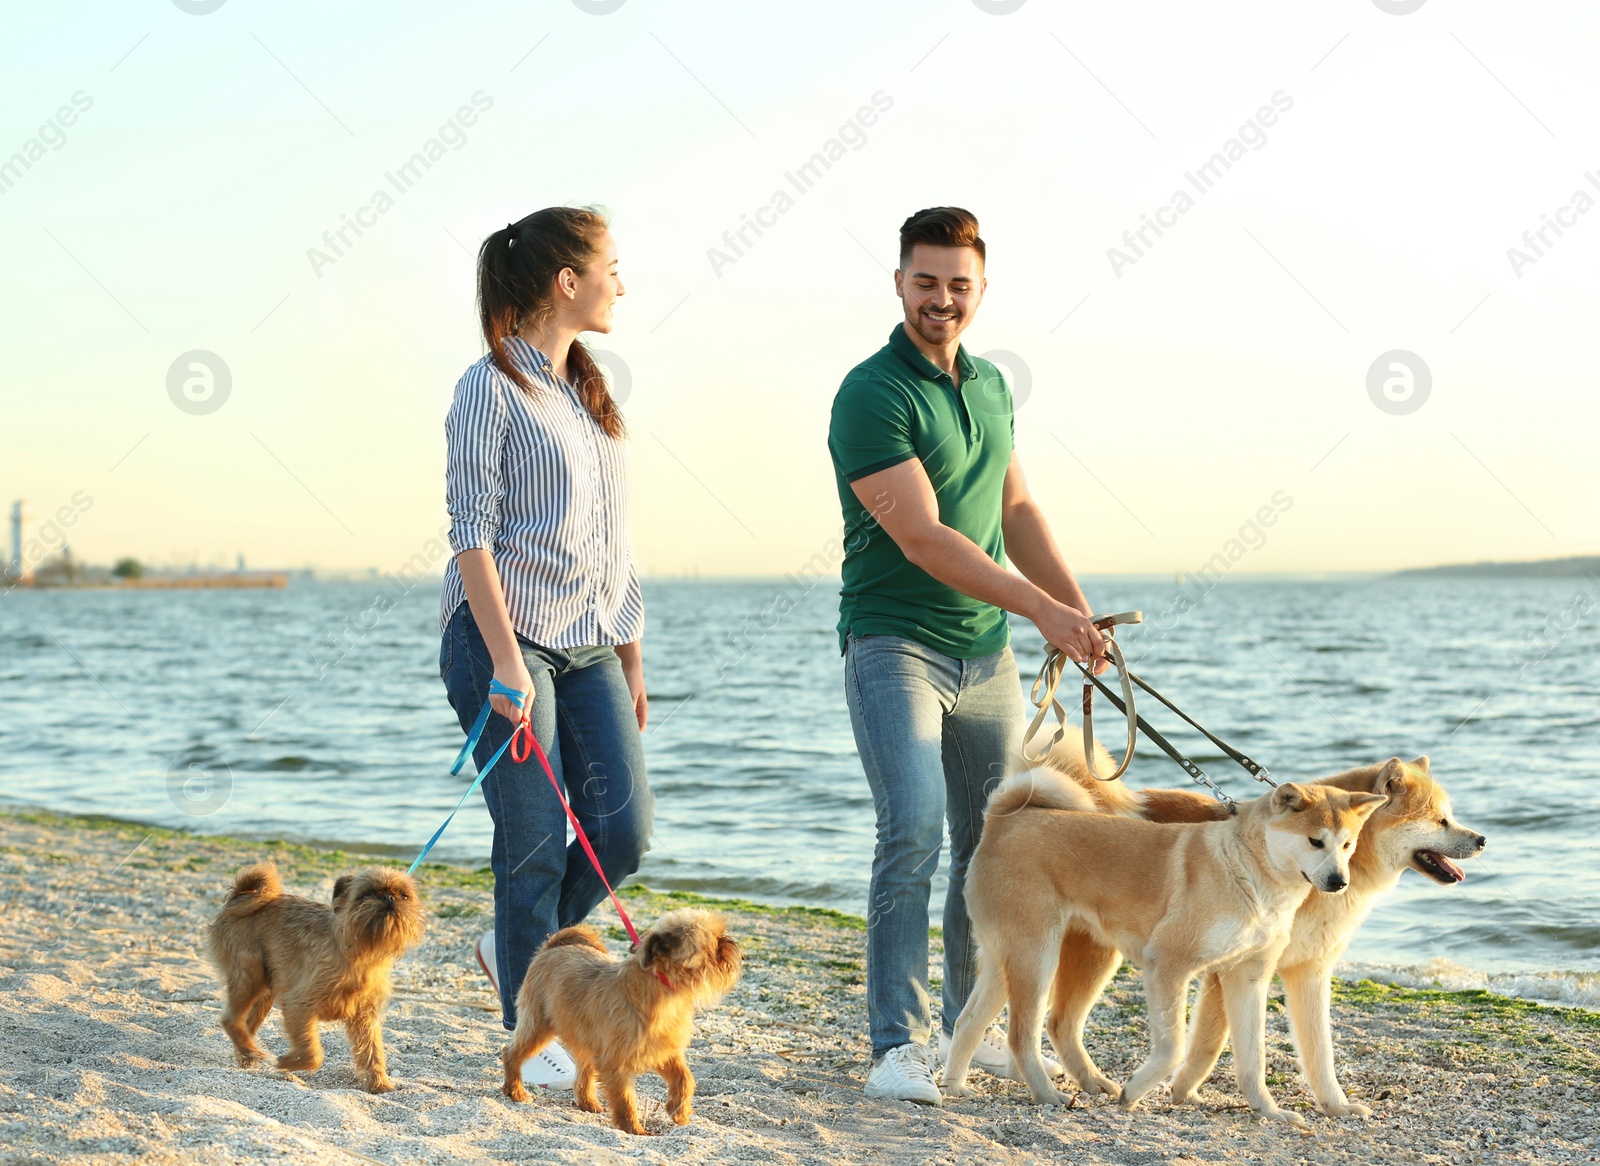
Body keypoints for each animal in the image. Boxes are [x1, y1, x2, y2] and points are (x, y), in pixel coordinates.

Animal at [209, 857, 428, 1094]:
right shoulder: (299, 1005)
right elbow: (313, 1054)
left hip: (265, 991)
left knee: (245, 1024)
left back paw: (247, 1055)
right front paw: (288, 1062)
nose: (389, 898)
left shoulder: (365, 1017)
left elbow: (373, 1052)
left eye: (404, 896)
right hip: (250, 976)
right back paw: (250, 1051)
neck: (361, 952)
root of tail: (240, 896)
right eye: (367, 894)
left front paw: (380, 1084)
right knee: (231, 1019)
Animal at [502, 902, 739, 1132]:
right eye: (713, 944)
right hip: (538, 1026)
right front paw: (634, 1130)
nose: (730, 943)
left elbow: (684, 1078)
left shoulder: (665, 1052)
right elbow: (625, 1099)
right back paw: (515, 1091)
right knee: (511, 1053)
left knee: (584, 1070)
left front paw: (679, 1111)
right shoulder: (616, 1063)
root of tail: (553, 946)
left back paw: (589, 1103)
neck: (662, 990)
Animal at [940, 764, 1382, 1119]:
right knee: (1022, 1035)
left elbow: (1252, 1058)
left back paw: (955, 1088)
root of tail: (1003, 821)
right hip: (1037, 957)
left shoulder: (1248, 977)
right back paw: (1048, 1095)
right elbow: (1174, 1048)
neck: (1245, 871)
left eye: (1347, 844)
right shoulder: (1168, 964)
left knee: (968, 1020)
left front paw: (1269, 1111)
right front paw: (1135, 1091)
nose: (1339, 881)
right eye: (1315, 841)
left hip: (1007, 960)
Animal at [1036, 742, 1484, 1113]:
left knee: (1055, 1021)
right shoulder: (1226, 969)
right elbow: (1210, 1043)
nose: (1481, 839)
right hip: (1093, 951)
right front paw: (1183, 1089)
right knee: (1056, 1019)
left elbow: (1319, 1052)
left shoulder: (1308, 971)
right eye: (1441, 820)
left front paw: (1335, 1106)